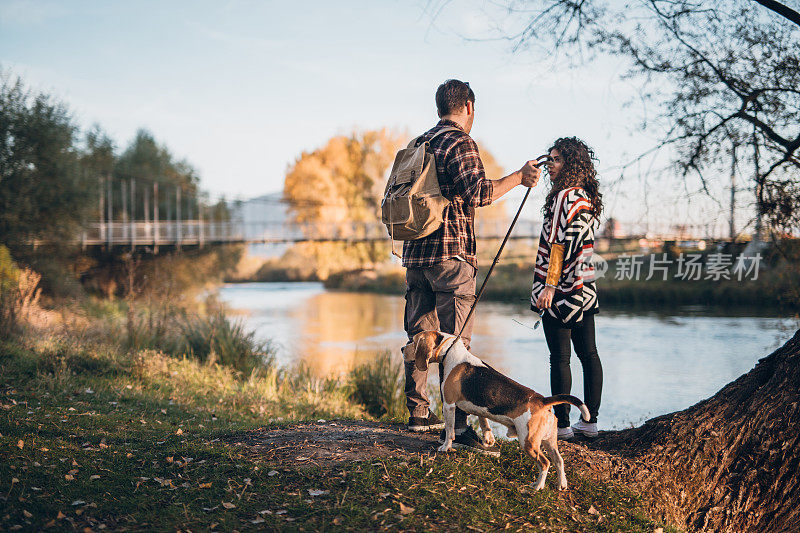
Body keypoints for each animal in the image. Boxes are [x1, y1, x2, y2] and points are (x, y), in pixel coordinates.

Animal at [404, 328, 592, 490]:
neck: (451, 351)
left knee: (545, 463)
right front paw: (488, 439)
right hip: (549, 441)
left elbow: (450, 430)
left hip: (528, 442)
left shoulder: (449, 405)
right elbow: (484, 420)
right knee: (559, 461)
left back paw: (538, 486)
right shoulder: (479, 406)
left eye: (413, 341)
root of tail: (542, 400)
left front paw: (445, 447)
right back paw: (562, 484)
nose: (401, 349)